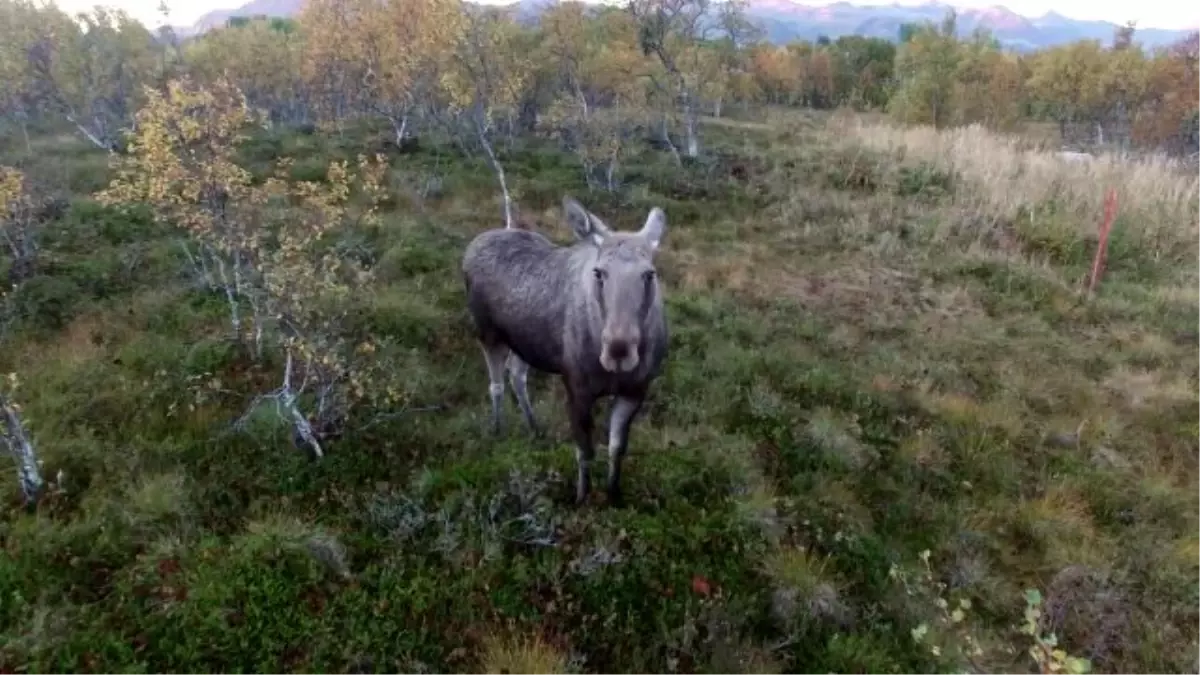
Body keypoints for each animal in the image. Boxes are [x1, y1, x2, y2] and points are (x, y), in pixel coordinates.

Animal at [460, 194, 672, 504]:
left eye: (649, 274)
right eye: (599, 273)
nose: (618, 349)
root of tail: (477, 242)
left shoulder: (635, 391)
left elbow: (616, 448)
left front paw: (613, 495)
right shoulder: (576, 388)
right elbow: (584, 452)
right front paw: (581, 498)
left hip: (524, 343)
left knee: (516, 375)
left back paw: (534, 428)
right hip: (488, 333)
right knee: (496, 384)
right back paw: (497, 429)